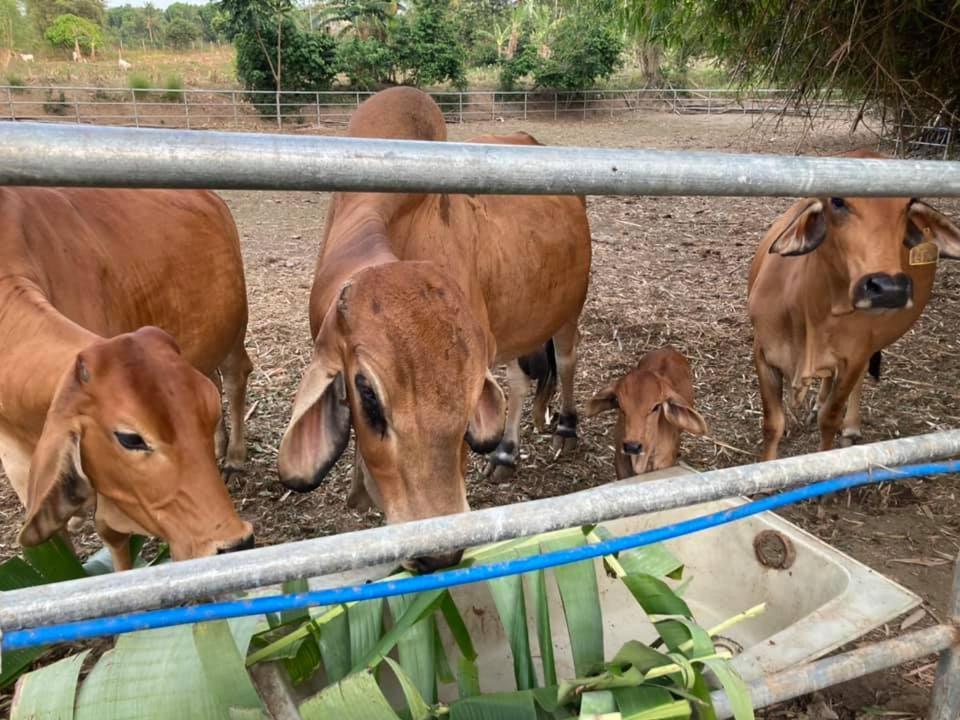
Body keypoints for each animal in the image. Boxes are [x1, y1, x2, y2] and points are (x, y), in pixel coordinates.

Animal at [0, 186, 255, 568]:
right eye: (130, 438)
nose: (235, 543)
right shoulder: (18, 464)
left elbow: (112, 535)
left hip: (234, 331)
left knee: (237, 376)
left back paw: (235, 455)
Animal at [278, 87, 592, 572]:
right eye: (367, 393)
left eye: (470, 396)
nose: (439, 554)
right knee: (523, 380)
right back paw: (508, 450)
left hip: (568, 310)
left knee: (568, 360)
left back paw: (564, 428)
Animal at [752, 150, 960, 462]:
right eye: (838, 201)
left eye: (908, 204)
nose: (889, 288)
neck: (812, 310)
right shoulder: (763, 354)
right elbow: (772, 424)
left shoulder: (854, 358)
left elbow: (830, 418)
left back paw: (850, 426)